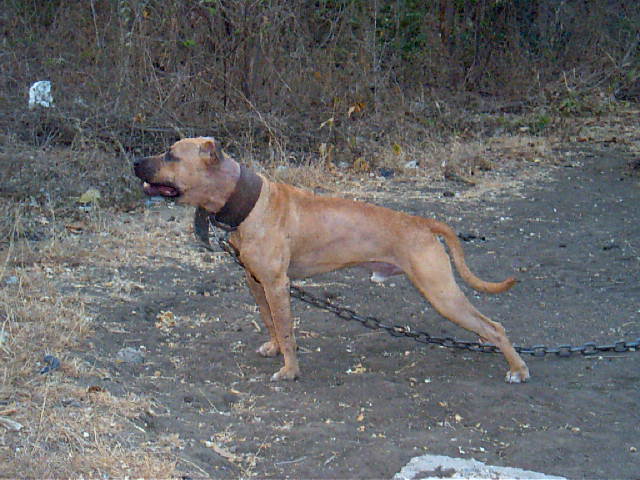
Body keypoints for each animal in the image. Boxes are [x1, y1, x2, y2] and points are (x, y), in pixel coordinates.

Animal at [134, 137, 530, 383]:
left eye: (171, 155)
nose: (135, 162)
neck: (246, 202)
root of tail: (421, 222)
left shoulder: (278, 284)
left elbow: (287, 330)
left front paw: (290, 370)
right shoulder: (256, 282)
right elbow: (271, 322)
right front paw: (274, 349)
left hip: (440, 291)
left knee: (495, 326)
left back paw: (518, 368)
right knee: (485, 325)